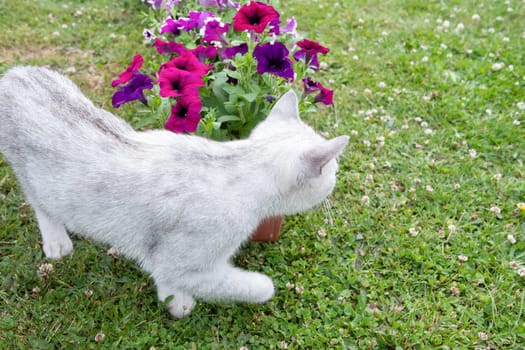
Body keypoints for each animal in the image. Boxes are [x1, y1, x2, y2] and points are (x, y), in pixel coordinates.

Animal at [1, 67, 348, 318]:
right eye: (331, 169)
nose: (337, 176)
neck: (236, 163)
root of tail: (16, 73)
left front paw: (172, 299)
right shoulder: (184, 261)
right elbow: (256, 286)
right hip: (36, 179)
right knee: (41, 205)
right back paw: (56, 241)